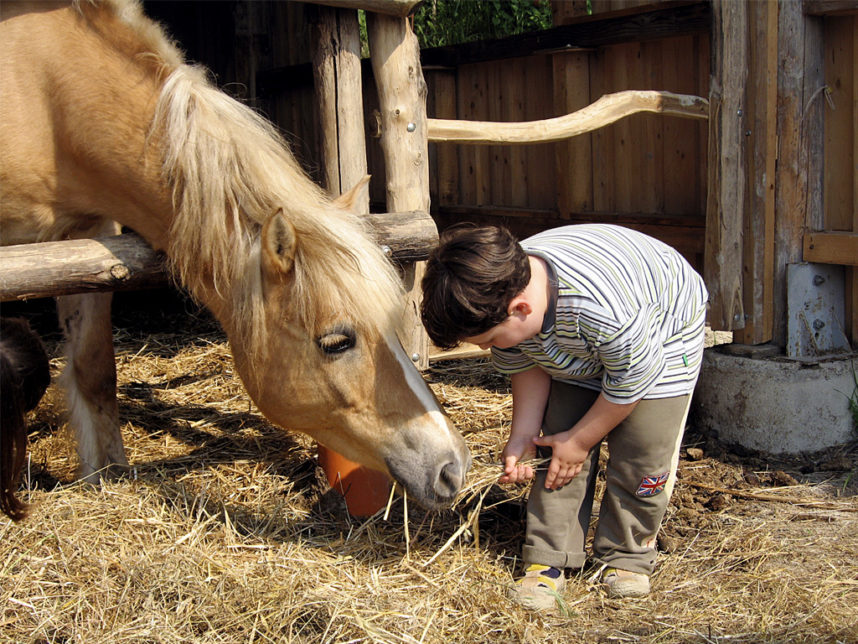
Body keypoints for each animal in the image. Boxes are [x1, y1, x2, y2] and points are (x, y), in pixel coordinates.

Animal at [0, 0, 468, 512]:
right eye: (336, 342)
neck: (48, 98)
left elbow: (95, 367)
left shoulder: (88, 234)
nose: (452, 466)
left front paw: (105, 475)